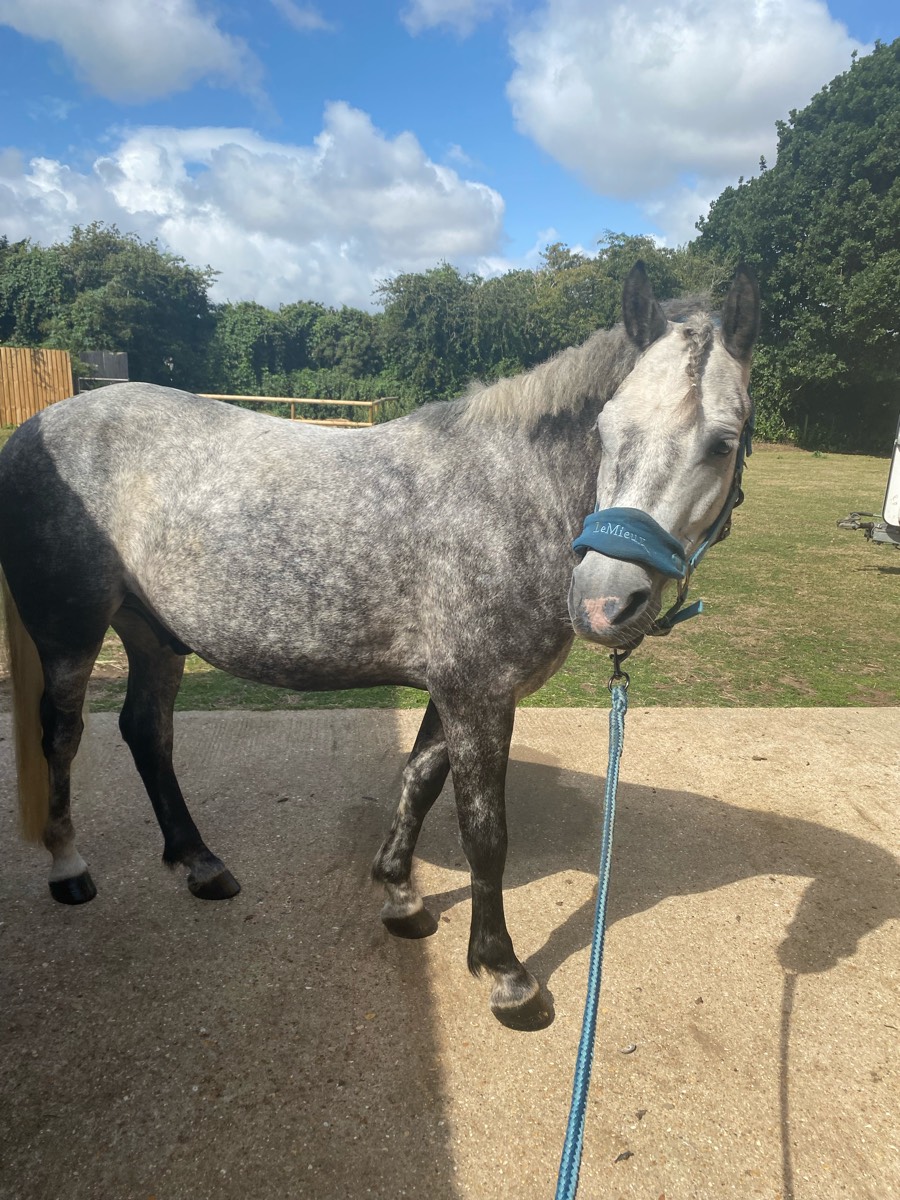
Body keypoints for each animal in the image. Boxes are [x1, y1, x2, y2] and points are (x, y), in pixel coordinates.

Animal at [0, 262, 759, 1030]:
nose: (605, 601)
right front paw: (505, 973)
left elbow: (419, 780)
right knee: (62, 733)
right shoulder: (478, 694)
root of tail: (35, 426)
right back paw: (69, 868)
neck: (512, 495)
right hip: (70, 633)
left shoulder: (456, 688)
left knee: (146, 732)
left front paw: (400, 897)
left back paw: (200, 864)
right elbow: (484, 831)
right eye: (606, 429)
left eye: (723, 442)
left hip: (154, 636)